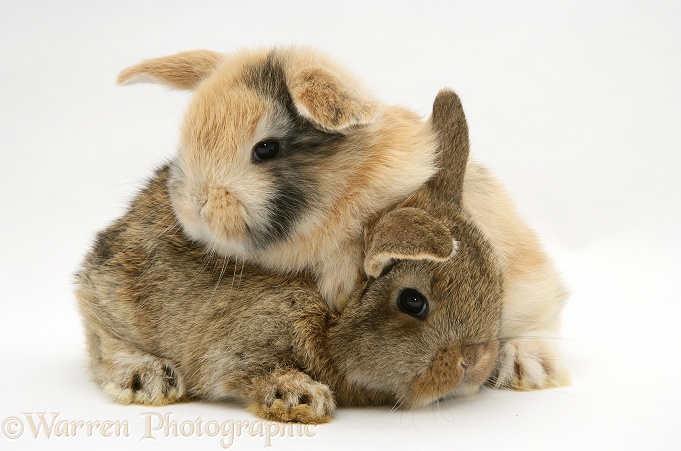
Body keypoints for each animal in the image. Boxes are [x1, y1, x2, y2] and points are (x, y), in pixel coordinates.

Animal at [75, 89, 504, 424]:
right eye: (413, 301)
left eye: (496, 279)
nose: (475, 361)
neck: (332, 311)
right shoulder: (244, 342)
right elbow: (247, 371)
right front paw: (302, 398)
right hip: (118, 300)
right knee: (102, 339)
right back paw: (149, 378)